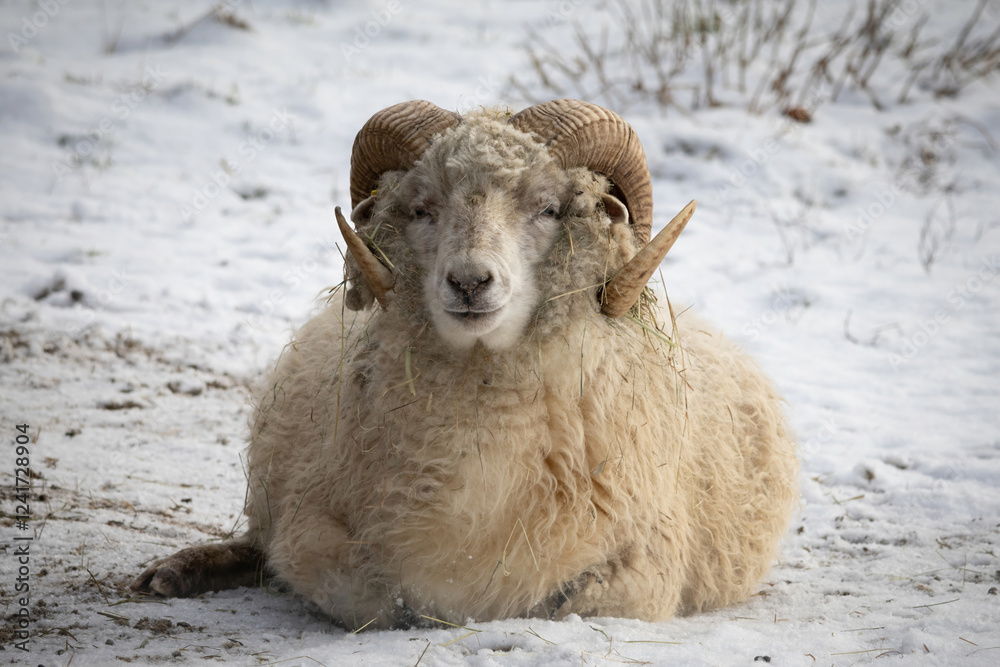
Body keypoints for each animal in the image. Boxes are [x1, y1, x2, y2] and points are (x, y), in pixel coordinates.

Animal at [131, 98, 799, 630]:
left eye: (549, 209)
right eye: (422, 209)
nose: (470, 282)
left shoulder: (647, 565)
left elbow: (571, 603)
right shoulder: (308, 529)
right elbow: (372, 597)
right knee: (255, 545)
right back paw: (172, 572)